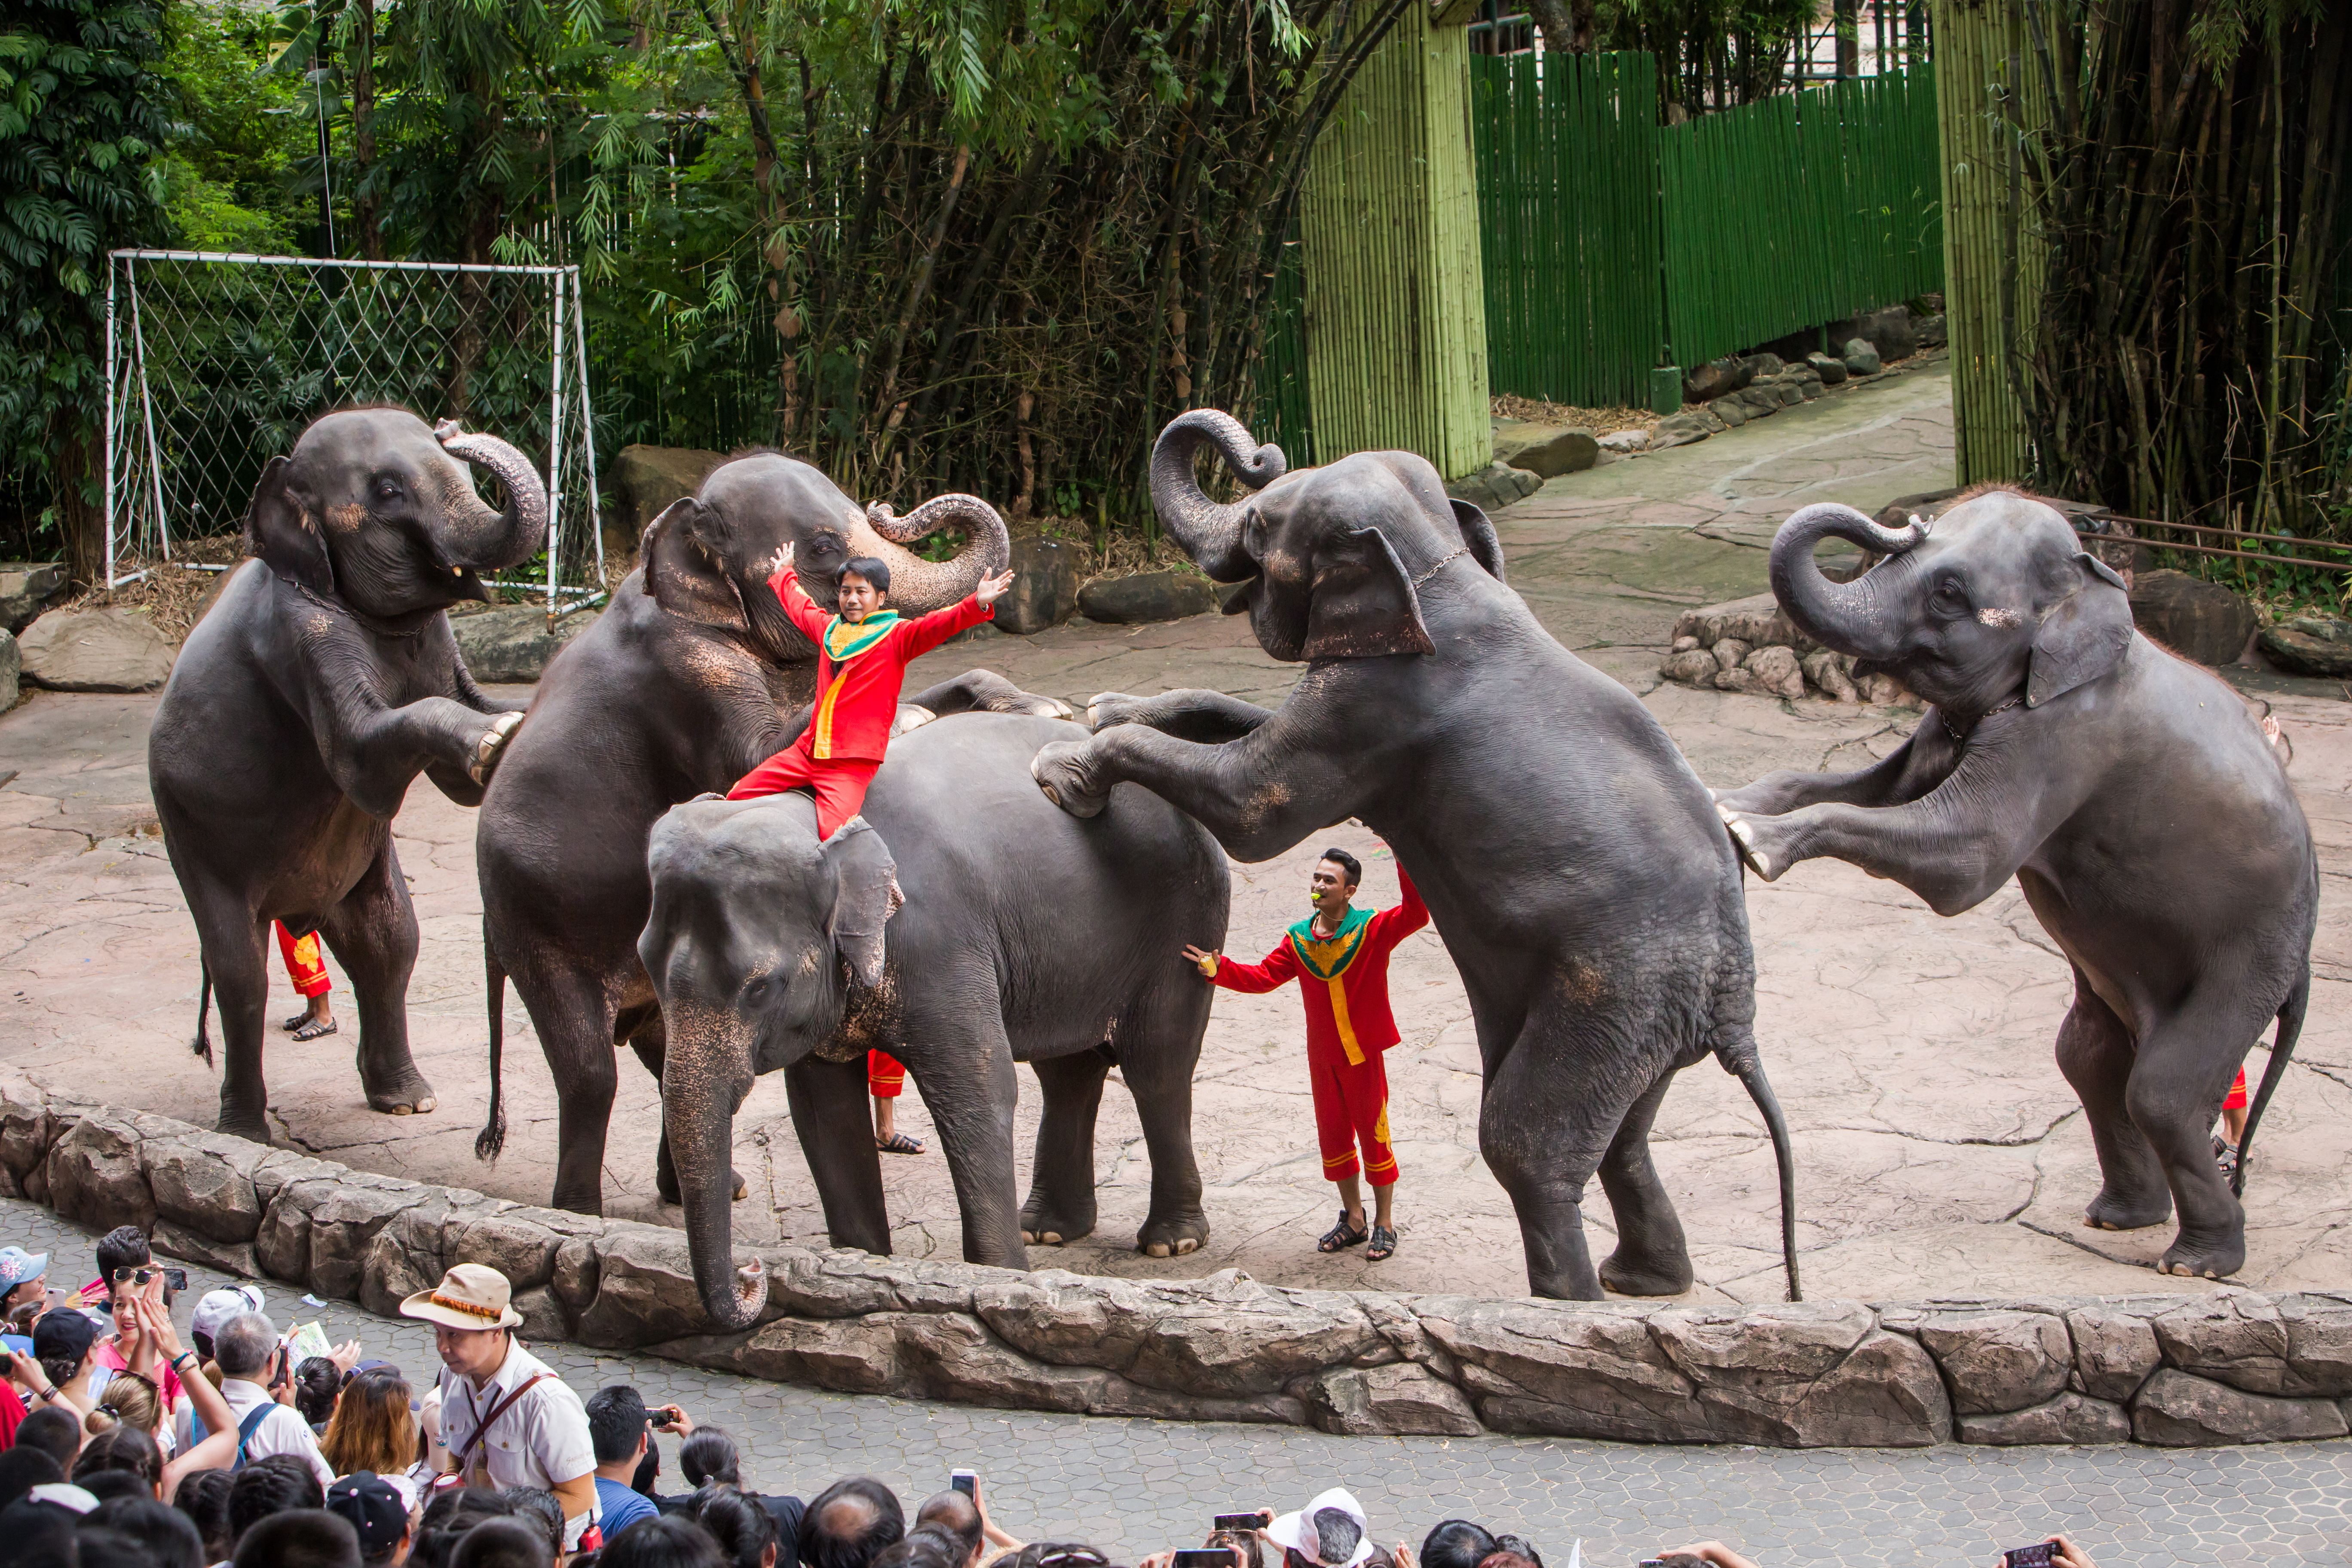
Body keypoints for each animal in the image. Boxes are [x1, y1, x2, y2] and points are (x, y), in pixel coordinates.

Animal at [149, 407, 547, 1141]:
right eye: (388, 491)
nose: (452, 425)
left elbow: (454, 778)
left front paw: (514, 727)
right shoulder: (300, 633)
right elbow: (359, 758)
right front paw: (497, 739)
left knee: (389, 941)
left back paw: (407, 1101)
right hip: (189, 831)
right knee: (239, 971)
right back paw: (245, 1131)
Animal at [473, 454, 1024, 1216]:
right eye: (821, 547)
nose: (888, 506)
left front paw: (1025, 703)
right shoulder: (687, 672)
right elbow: (761, 758)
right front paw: (911, 721)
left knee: (662, 1042)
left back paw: (710, 1190)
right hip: (535, 920)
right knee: (589, 1071)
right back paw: (582, 1212)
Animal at [638, 710, 1231, 1329]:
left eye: (759, 988)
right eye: (646, 965)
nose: (753, 1273)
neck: (815, 816)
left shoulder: (941, 940)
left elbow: (978, 1089)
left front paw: (1001, 1280)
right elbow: (822, 1112)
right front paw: (861, 1267)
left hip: (1185, 917)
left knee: (1155, 1066)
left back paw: (1170, 1242)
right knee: (1067, 1072)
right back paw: (1049, 1230)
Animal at [1029, 409, 1801, 1303]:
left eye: (1259, 524)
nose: (1260, 451)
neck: (1434, 561)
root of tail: (1733, 1011)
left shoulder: (1377, 703)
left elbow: (1252, 806)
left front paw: (1063, 772)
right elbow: (1242, 724)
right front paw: (1105, 707)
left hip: (1620, 992)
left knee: (1524, 1140)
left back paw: (1572, 1306)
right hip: (1642, 1025)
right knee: (1624, 1133)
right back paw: (1643, 1283)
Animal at [1711, 491, 2316, 1281]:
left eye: (1948, 593)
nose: (1907, 521)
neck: (2091, 592)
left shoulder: (2065, 733)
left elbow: (1963, 858)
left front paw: (1750, 841)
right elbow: (1877, 786)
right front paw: (1723, 799)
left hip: (2254, 947)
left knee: (2163, 1088)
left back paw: (2195, 1263)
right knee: (2089, 1059)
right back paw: (2118, 1218)